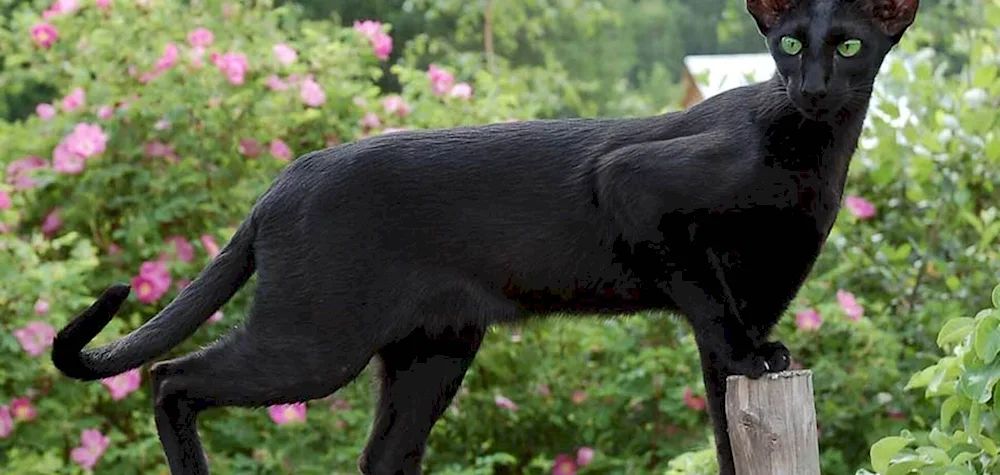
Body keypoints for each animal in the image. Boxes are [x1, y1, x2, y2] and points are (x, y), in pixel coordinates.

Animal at [52, 1, 916, 474]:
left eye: (848, 45)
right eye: (790, 44)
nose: (814, 86)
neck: (810, 145)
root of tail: (278, 184)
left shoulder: (757, 301)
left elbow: (731, 430)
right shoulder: (639, 189)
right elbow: (714, 310)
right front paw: (756, 356)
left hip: (431, 352)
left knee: (382, 453)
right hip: (315, 342)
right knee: (171, 378)